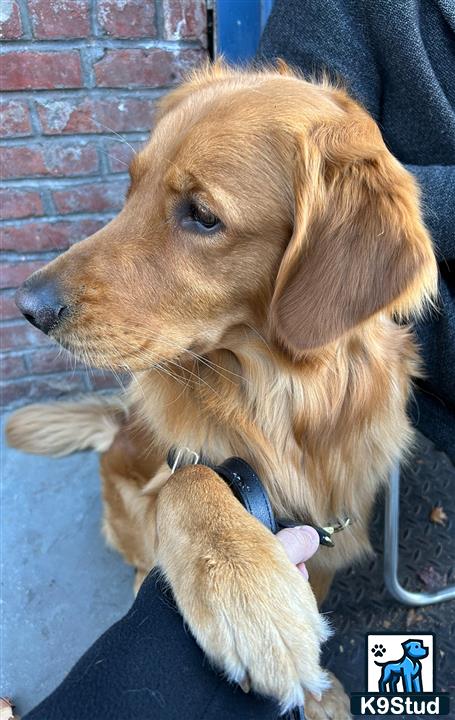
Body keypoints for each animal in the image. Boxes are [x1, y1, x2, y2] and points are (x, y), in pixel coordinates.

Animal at [6, 63, 438, 720]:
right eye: (131, 188)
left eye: (203, 216)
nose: (28, 307)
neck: (280, 400)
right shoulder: (181, 464)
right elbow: (190, 479)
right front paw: (247, 587)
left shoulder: (329, 534)